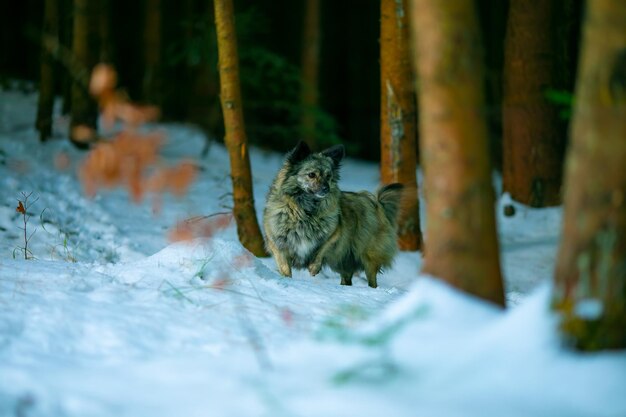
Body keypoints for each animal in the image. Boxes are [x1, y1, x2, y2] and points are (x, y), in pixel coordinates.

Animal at [262, 141, 400, 286]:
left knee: (372, 279)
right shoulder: (277, 243)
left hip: (368, 258)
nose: (326, 189)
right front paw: (287, 279)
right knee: (347, 278)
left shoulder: (335, 234)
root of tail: (377, 203)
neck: (306, 211)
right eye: (311, 175)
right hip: (345, 263)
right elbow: (284, 267)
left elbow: (322, 250)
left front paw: (314, 267)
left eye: (328, 176)